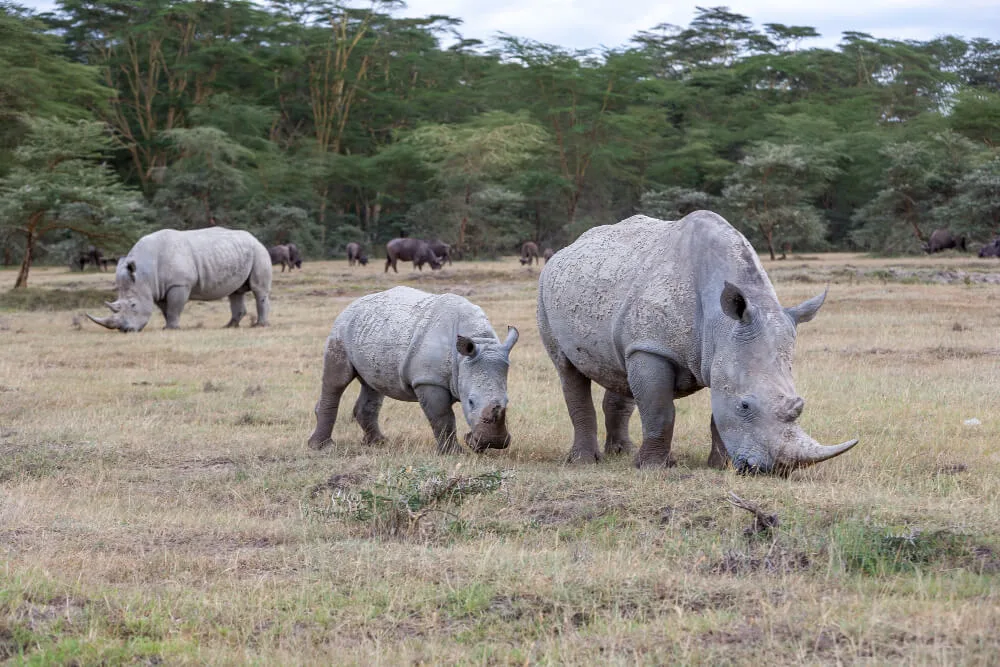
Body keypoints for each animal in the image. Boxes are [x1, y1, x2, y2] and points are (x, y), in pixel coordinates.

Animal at [88, 227, 271, 332]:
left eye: (133, 305)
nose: (125, 330)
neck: (144, 274)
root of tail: (254, 238)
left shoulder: (179, 284)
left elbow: (175, 307)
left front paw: (172, 328)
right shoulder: (158, 288)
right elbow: (166, 309)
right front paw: (167, 326)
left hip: (259, 251)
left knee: (258, 289)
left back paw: (260, 326)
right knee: (235, 292)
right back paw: (229, 327)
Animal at [307, 286, 519, 453]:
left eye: (508, 401)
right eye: (471, 402)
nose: (494, 443)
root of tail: (352, 304)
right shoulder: (428, 380)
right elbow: (443, 417)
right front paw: (453, 453)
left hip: (372, 332)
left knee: (373, 385)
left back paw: (378, 443)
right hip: (341, 329)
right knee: (337, 381)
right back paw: (322, 447)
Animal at [537, 210, 858, 475]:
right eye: (745, 406)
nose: (776, 470)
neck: (721, 324)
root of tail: (567, 248)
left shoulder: (720, 354)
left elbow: (716, 412)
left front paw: (720, 466)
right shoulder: (653, 348)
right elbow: (660, 411)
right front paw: (653, 468)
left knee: (619, 368)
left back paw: (622, 453)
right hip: (545, 289)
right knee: (567, 369)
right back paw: (584, 461)